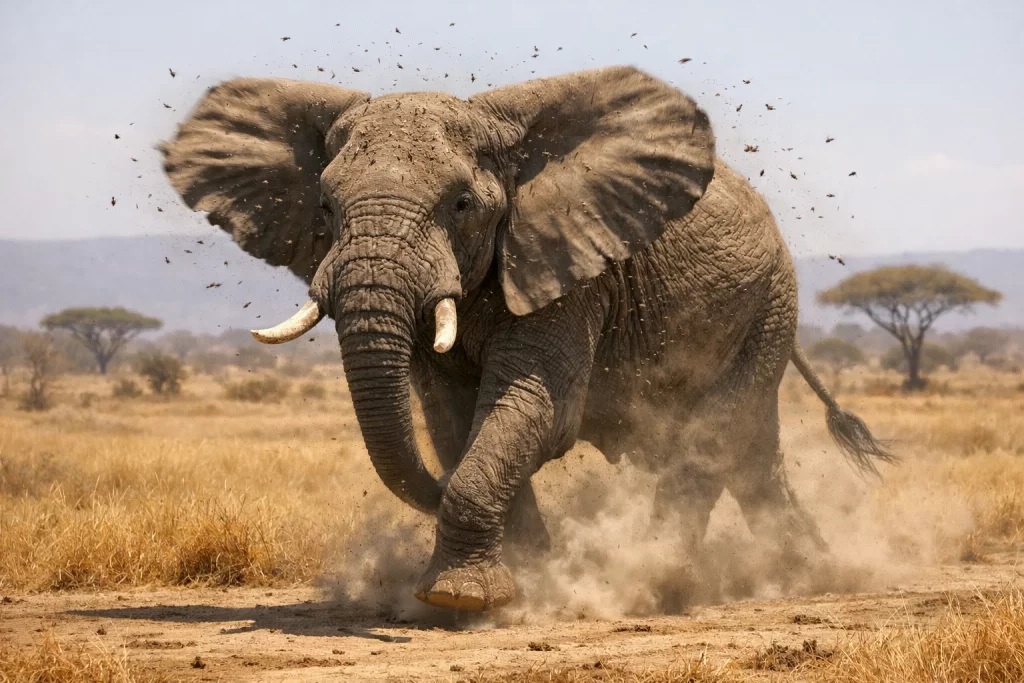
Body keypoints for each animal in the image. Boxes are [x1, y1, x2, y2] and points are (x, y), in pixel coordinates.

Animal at [161, 66, 894, 612]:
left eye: (461, 204)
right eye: (325, 208)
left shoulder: (569, 268)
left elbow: (534, 409)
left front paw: (464, 598)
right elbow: (453, 417)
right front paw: (529, 581)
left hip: (768, 305)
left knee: (711, 442)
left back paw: (661, 583)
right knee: (750, 456)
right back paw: (809, 573)